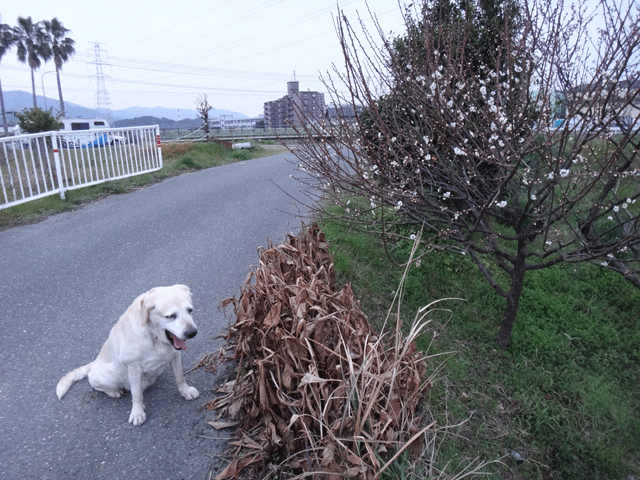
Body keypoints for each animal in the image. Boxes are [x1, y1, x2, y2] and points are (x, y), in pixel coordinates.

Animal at [56, 284, 199, 426]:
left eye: (190, 310)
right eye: (170, 316)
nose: (192, 333)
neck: (154, 336)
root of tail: (94, 363)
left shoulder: (175, 355)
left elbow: (180, 377)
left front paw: (185, 391)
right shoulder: (133, 367)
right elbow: (136, 394)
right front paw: (137, 412)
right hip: (108, 377)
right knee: (95, 383)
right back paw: (114, 392)